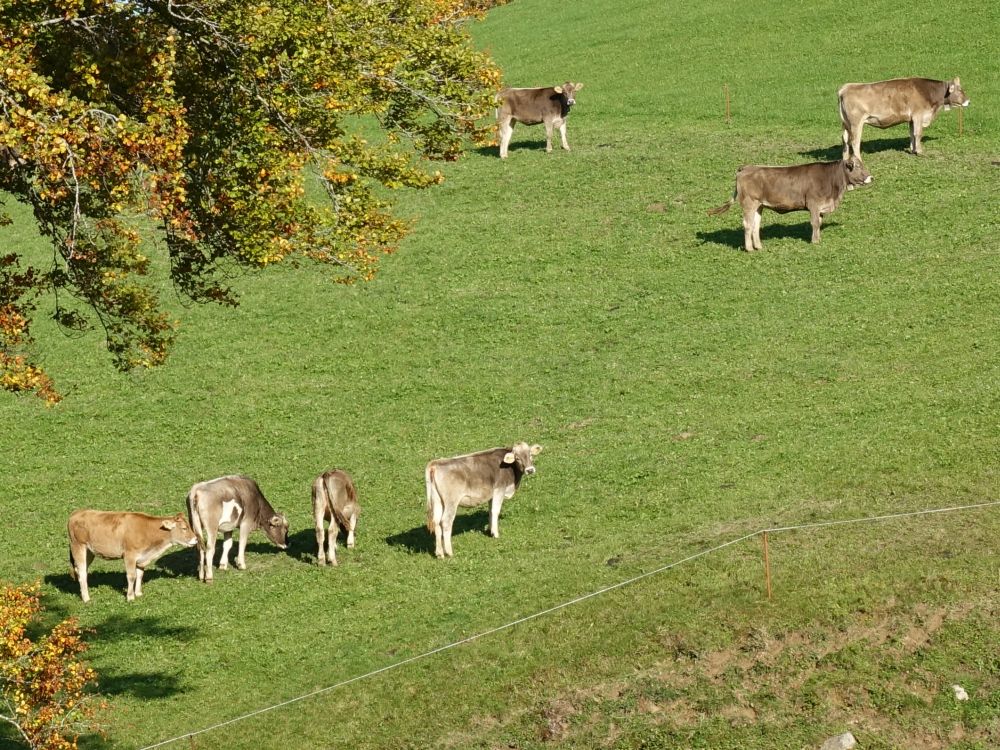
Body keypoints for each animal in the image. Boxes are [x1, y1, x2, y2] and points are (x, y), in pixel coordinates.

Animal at [67, 512, 198, 604]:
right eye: (184, 528)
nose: (196, 539)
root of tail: (76, 513)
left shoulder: (141, 558)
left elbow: (140, 574)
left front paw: (138, 593)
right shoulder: (129, 555)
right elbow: (131, 576)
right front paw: (130, 597)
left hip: (89, 552)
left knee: (81, 570)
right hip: (78, 546)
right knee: (82, 573)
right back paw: (86, 598)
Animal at [708, 159, 872, 253]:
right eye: (857, 166)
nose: (871, 177)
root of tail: (747, 167)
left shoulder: (821, 208)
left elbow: (819, 223)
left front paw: (818, 240)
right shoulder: (814, 204)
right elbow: (815, 223)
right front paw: (814, 242)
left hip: (759, 205)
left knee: (755, 225)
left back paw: (758, 246)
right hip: (749, 202)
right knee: (747, 225)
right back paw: (749, 249)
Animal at [836, 76, 968, 157]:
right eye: (960, 90)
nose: (968, 101)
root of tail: (845, 88)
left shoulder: (911, 119)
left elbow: (912, 134)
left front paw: (913, 150)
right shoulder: (918, 115)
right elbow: (918, 133)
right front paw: (920, 152)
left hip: (846, 123)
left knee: (845, 139)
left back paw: (846, 159)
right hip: (855, 123)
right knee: (855, 141)